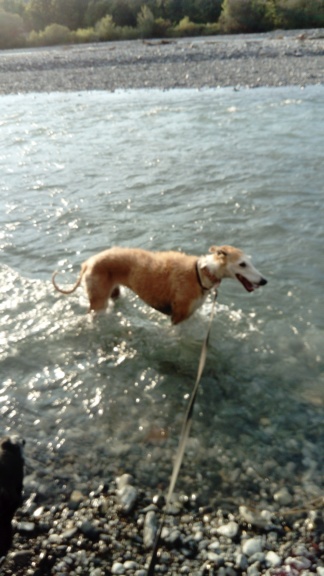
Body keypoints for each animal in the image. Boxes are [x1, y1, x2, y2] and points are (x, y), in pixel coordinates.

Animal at [52, 243, 268, 324]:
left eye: (250, 262)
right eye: (242, 264)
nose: (264, 281)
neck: (201, 272)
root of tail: (87, 262)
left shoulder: (191, 315)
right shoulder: (177, 317)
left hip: (114, 293)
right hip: (98, 302)